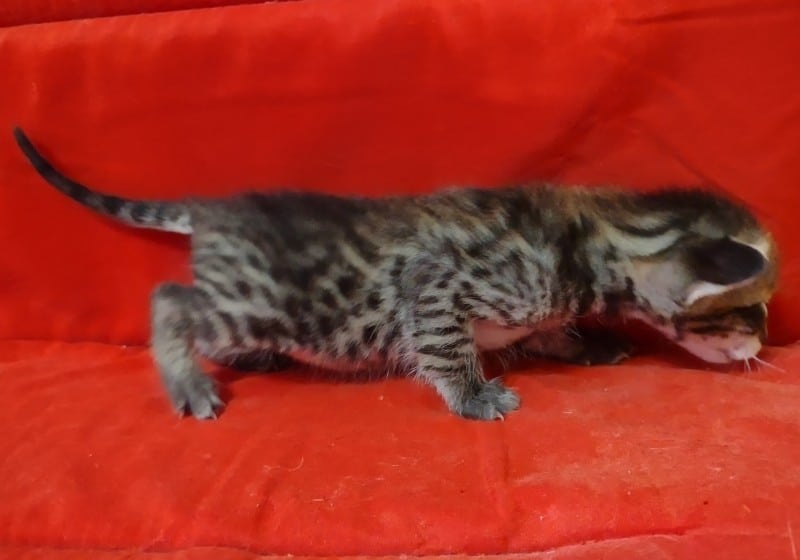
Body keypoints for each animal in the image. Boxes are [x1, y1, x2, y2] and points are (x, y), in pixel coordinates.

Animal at [13, 127, 778, 421]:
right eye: (751, 310)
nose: (762, 345)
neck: (590, 234)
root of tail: (214, 209)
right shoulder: (438, 282)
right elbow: (446, 344)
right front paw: (473, 395)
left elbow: (547, 333)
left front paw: (587, 343)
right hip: (256, 303)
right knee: (171, 298)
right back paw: (189, 384)